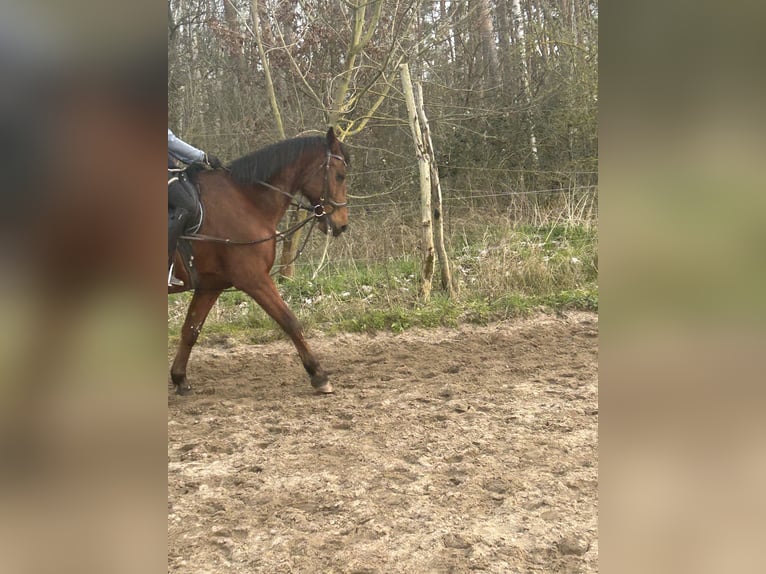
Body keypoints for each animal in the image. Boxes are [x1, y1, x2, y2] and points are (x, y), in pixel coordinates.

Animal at [168, 128, 352, 396]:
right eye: (340, 176)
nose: (341, 225)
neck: (246, 201)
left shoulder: (211, 285)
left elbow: (191, 329)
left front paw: (179, 378)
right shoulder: (254, 280)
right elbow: (290, 321)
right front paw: (319, 376)